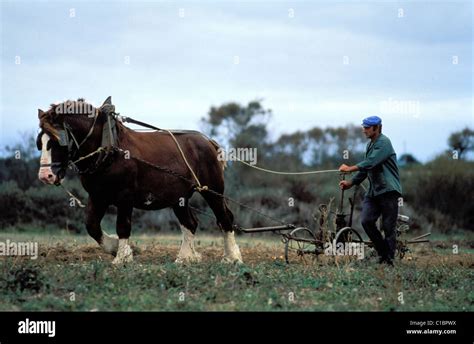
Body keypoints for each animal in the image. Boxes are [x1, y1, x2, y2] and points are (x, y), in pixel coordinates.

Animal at [36, 98, 243, 264]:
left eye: (57, 141)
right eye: (40, 142)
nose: (45, 176)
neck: (108, 149)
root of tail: (209, 142)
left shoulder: (125, 197)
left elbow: (123, 226)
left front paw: (122, 257)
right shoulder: (98, 196)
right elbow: (91, 225)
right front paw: (117, 249)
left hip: (212, 190)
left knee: (225, 218)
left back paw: (232, 257)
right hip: (179, 197)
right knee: (190, 223)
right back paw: (184, 258)